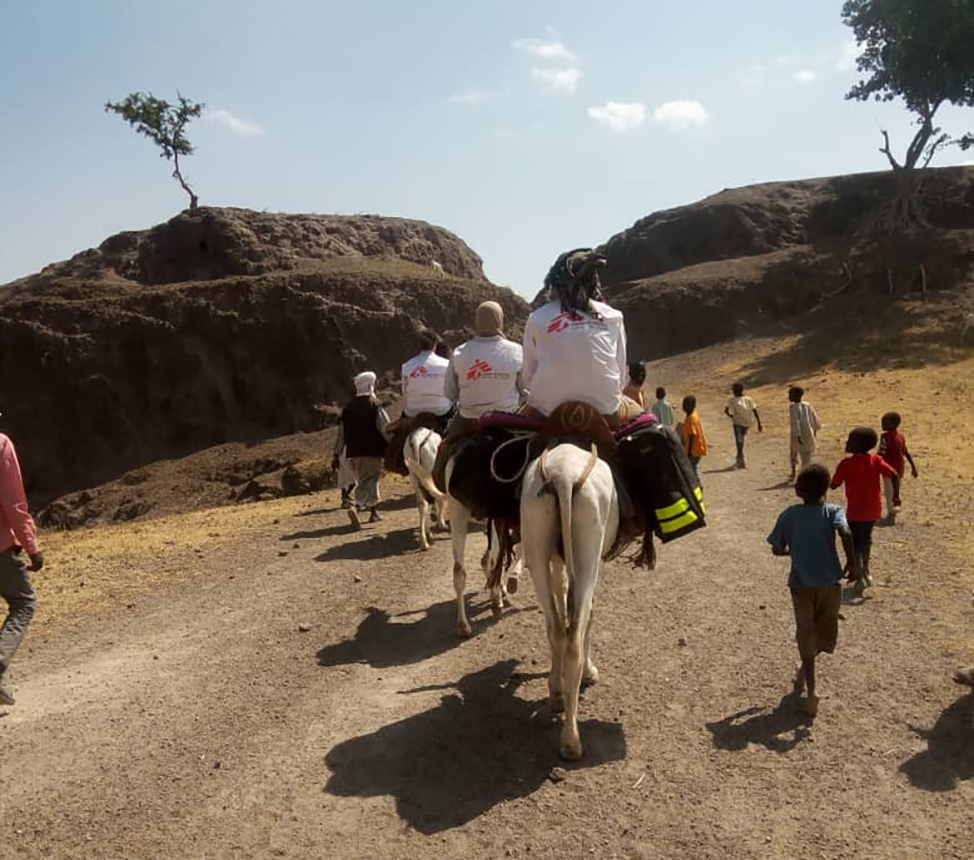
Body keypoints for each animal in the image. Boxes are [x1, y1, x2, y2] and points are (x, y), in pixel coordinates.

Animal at [524, 444, 620, 760]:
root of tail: (564, 477)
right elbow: (588, 615)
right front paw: (591, 673)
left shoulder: (557, 558)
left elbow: (562, 595)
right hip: (589, 547)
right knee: (575, 634)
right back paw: (571, 741)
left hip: (536, 543)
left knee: (555, 626)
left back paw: (555, 695)